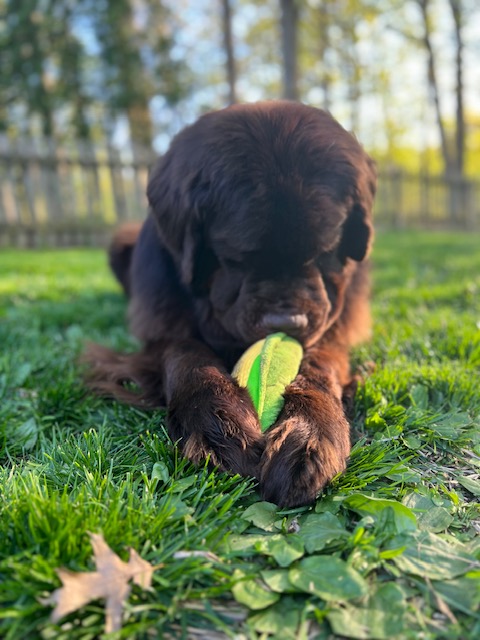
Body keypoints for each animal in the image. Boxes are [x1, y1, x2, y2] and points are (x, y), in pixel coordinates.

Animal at [87, 101, 378, 504]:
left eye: (324, 253)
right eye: (238, 258)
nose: (285, 324)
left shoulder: (334, 324)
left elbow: (320, 364)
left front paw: (310, 431)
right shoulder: (161, 326)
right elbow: (184, 355)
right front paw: (218, 423)